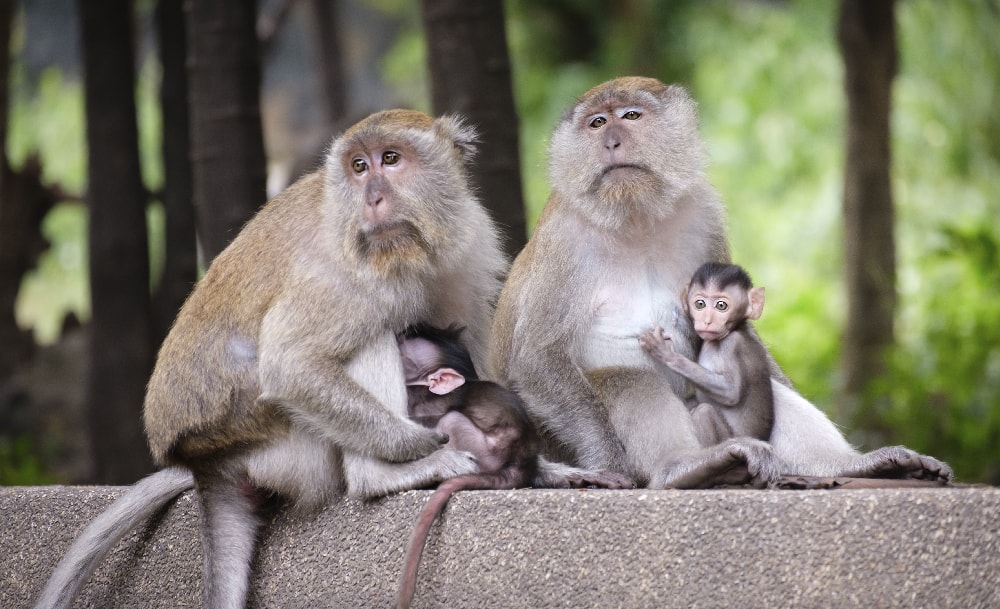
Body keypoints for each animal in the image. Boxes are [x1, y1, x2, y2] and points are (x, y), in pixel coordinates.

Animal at [36, 109, 508, 608]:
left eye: (391, 159)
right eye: (359, 167)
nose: (373, 199)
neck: (410, 253)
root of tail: (205, 463)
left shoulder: (468, 242)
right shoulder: (340, 274)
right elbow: (289, 365)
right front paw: (422, 443)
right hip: (280, 442)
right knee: (370, 337)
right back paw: (381, 476)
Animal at [396, 324, 540, 608]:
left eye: (406, 345)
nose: (397, 334)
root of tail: (521, 463)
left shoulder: (426, 402)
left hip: (482, 449)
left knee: (450, 420)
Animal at [640, 262, 772, 446]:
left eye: (721, 306)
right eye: (700, 304)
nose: (707, 321)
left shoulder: (733, 346)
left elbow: (731, 392)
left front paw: (666, 354)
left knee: (704, 411)